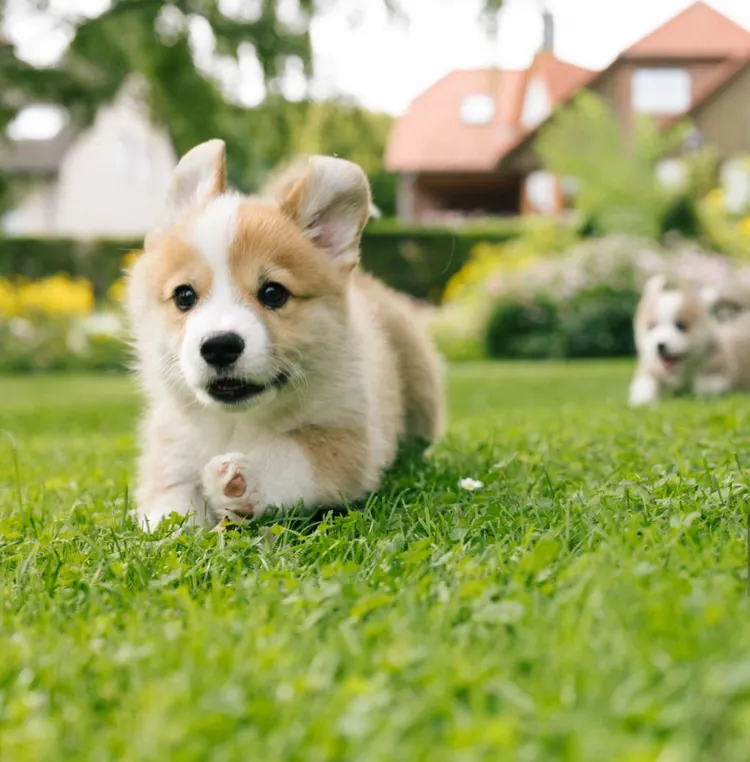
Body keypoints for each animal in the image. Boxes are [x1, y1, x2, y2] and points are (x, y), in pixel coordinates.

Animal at [125, 138, 444, 528]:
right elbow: (170, 507)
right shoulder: (170, 453)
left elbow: (290, 453)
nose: (219, 346)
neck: (234, 422)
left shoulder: (350, 438)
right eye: (184, 296)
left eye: (273, 293)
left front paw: (242, 480)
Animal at [628, 272, 750, 404]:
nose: (660, 345)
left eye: (681, 326)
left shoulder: (720, 375)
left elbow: (701, 386)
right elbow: (645, 386)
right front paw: (645, 401)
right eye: (652, 326)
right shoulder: (649, 370)